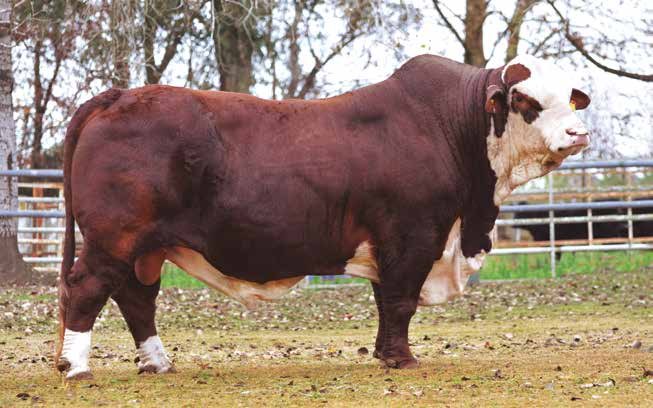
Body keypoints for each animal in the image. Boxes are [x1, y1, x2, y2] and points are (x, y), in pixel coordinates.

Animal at [55, 54, 591, 379]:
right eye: (526, 101)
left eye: (571, 97)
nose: (578, 133)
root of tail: (120, 95)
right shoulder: (415, 236)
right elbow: (401, 301)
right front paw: (403, 359)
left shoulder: (387, 245)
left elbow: (385, 302)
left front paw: (385, 354)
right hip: (113, 239)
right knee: (87, 288)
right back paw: (76, 367)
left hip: (145, 247)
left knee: (136, 299)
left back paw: (158, 362)